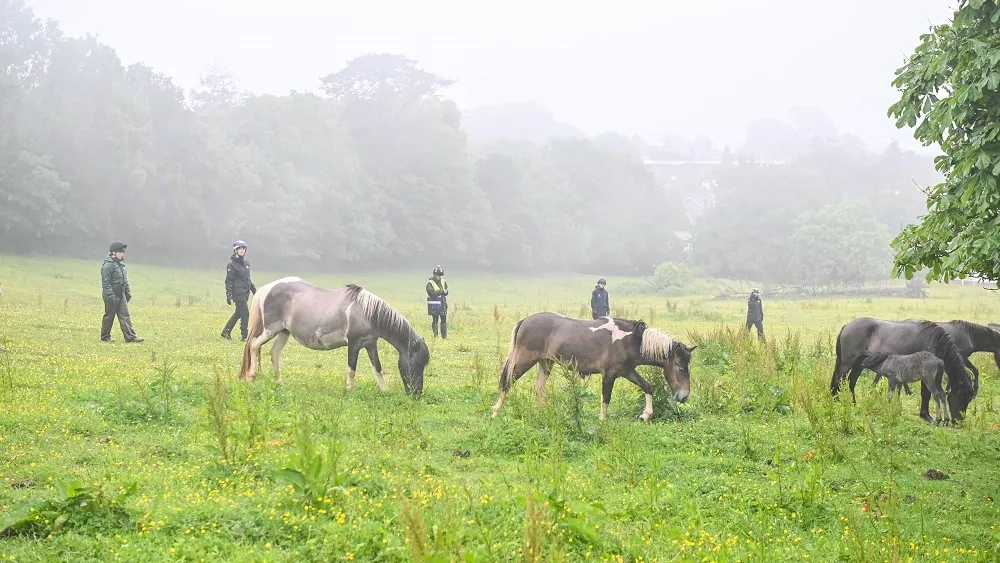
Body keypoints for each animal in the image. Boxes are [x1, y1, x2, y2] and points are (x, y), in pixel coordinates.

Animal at [237, 277, 430, 396]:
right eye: (415, 364)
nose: (417, 394)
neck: (366, 311)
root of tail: (267, 289)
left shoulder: (370, 344)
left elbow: (378, 368)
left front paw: (385, 391)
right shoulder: (354, 344)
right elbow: (351, 369)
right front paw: (349, 391)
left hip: (283, 332)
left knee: (274, 354)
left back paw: (279, 383)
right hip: (270, 329)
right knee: (254, 345)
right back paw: (251, 377)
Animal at [490, 312, 696, 422]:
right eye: (680, 368)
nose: (684, 397)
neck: (631, 341)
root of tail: (525, 321)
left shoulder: (627, 371)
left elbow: (647, 386)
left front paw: (645, 415)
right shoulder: (610, 374)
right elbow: (606, 398)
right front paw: (602, 421)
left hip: (545, 363)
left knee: (539, 387)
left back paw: (543, 413)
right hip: (524, 361)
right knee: (507, 382)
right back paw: (495, 411)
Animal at [830, 317, 976, 423]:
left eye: (969, 399)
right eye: (961, 396)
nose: (959, 420)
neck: (934, 340)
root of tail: (847, 326)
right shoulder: (925, 376)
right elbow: (926, 394)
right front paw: (926, 416)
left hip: (858, 365)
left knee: (850, 383)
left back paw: (853, 404)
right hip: (847, 363)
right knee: (838, 380)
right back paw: (835, 401)